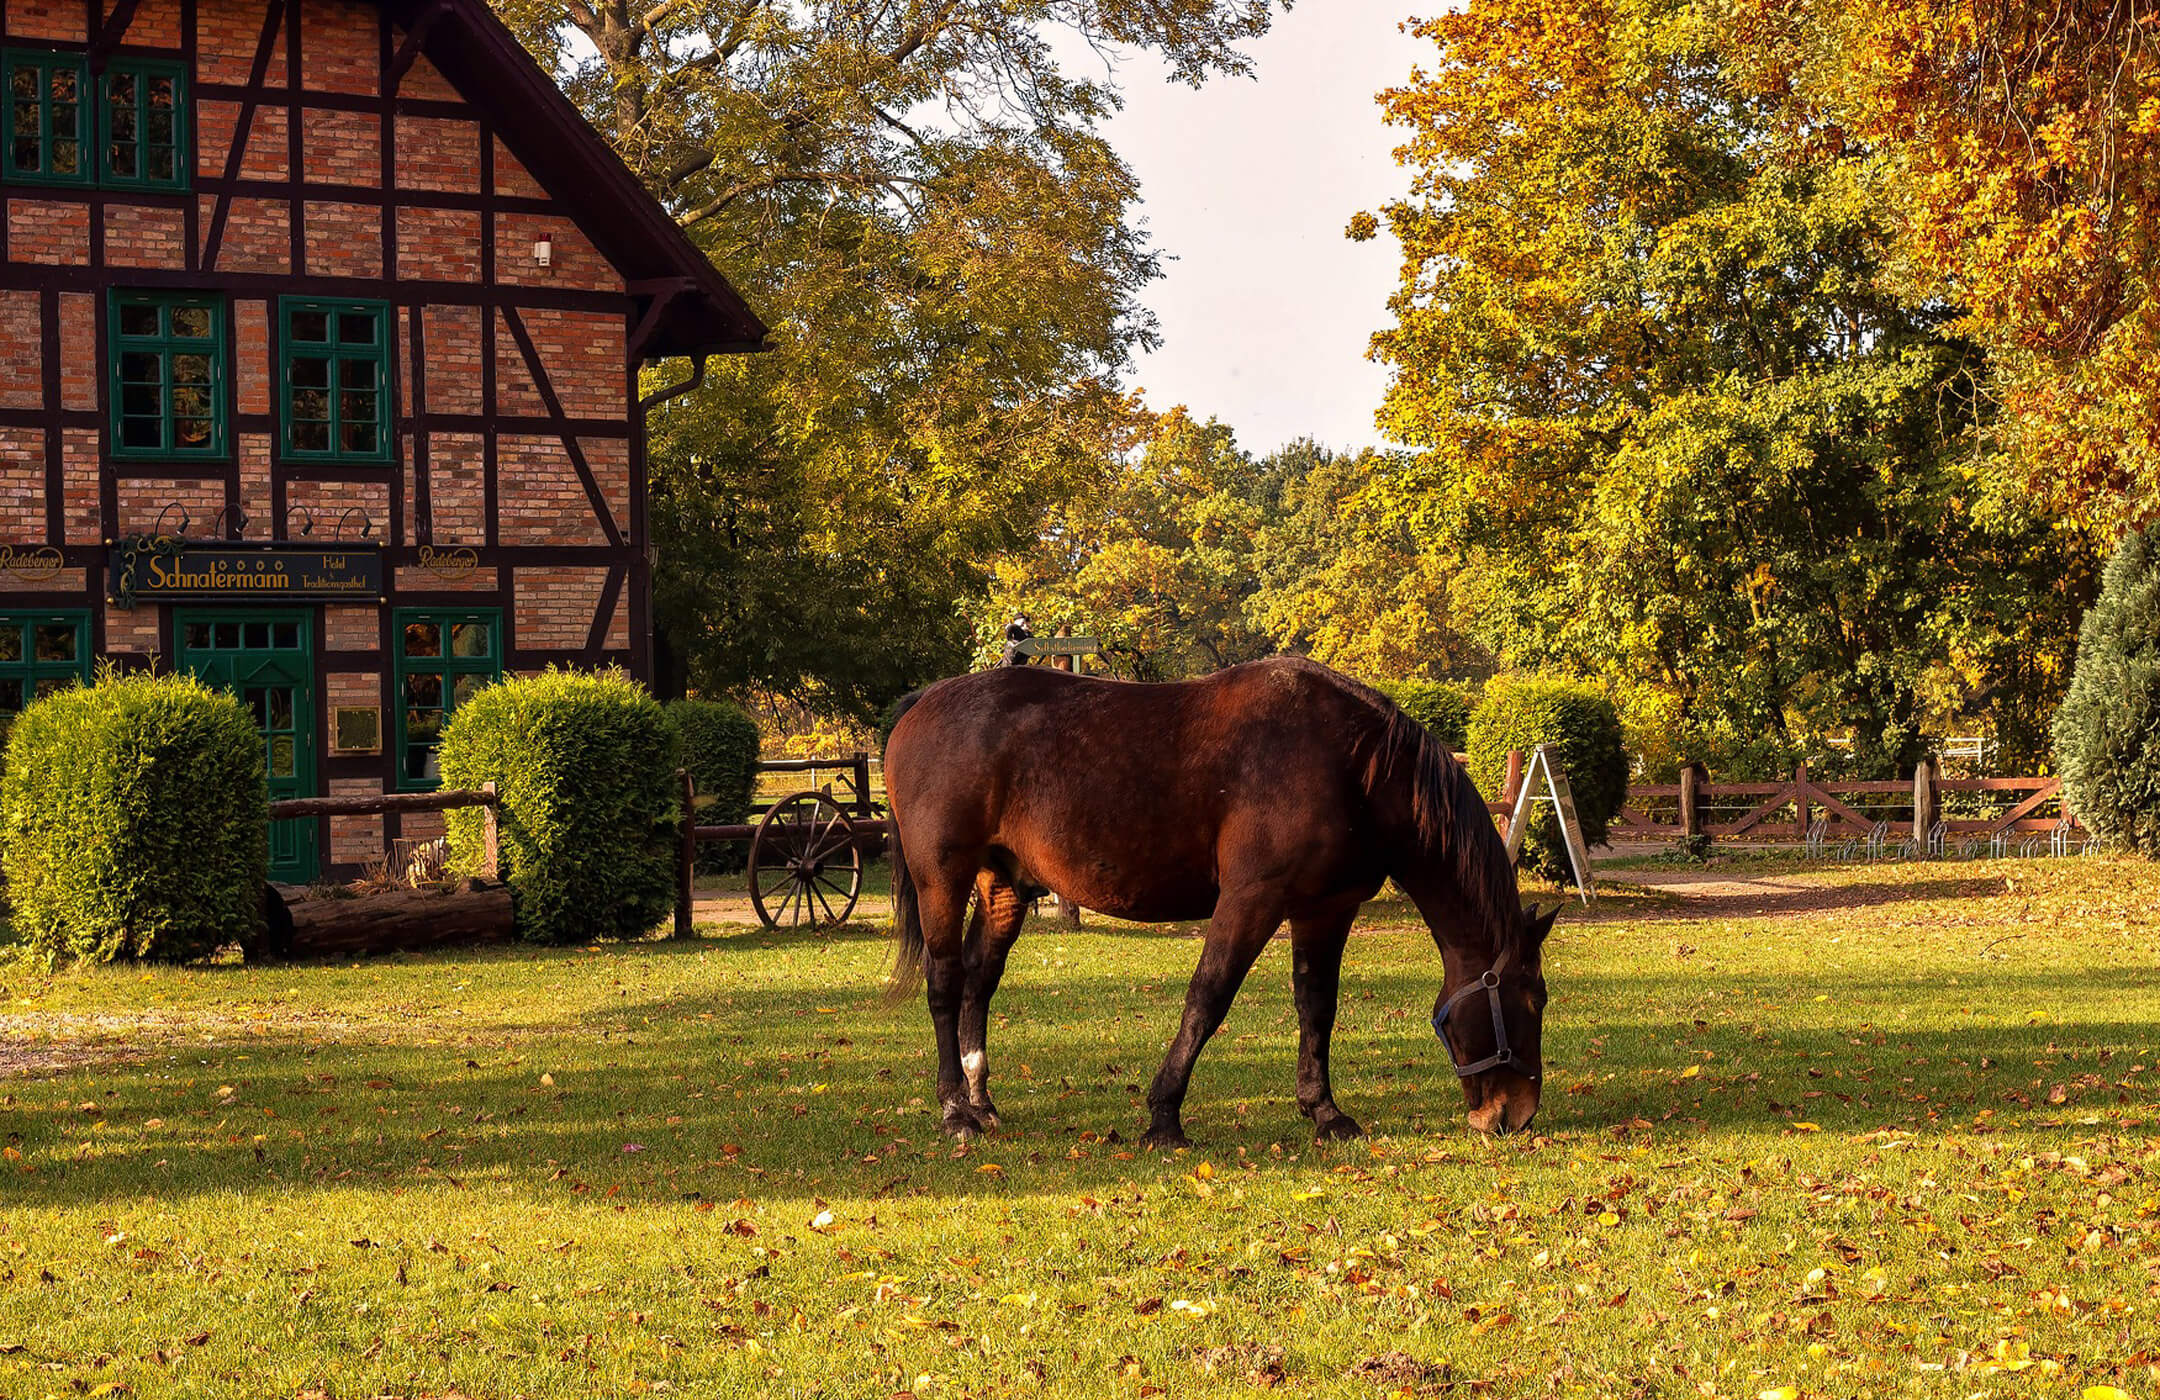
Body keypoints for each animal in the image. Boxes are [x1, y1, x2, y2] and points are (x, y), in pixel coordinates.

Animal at [876, 656, 1555, 1149]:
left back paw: (982, 1103)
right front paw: (1163, 1117)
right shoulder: (1251, 900)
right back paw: (954, 1111)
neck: (1350, 763)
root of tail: (923, 704)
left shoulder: (1326, 909)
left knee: (979, 982)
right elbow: (1207, 999)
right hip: (942, 880)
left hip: (1003, 886)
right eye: (1532, 1001)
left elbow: (1317, 1007)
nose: (1515, 1115)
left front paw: (1324, 1112)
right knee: (945, 983)